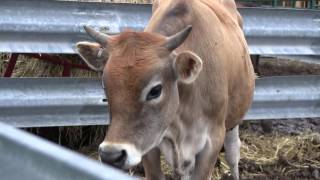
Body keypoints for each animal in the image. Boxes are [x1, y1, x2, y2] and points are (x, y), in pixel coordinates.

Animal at [75, 0, 255, 179]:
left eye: (155, 90)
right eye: (104, 85)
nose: (111, 155)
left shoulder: (213, 141)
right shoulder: (149, 142)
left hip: (233, 122)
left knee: (233, 152)